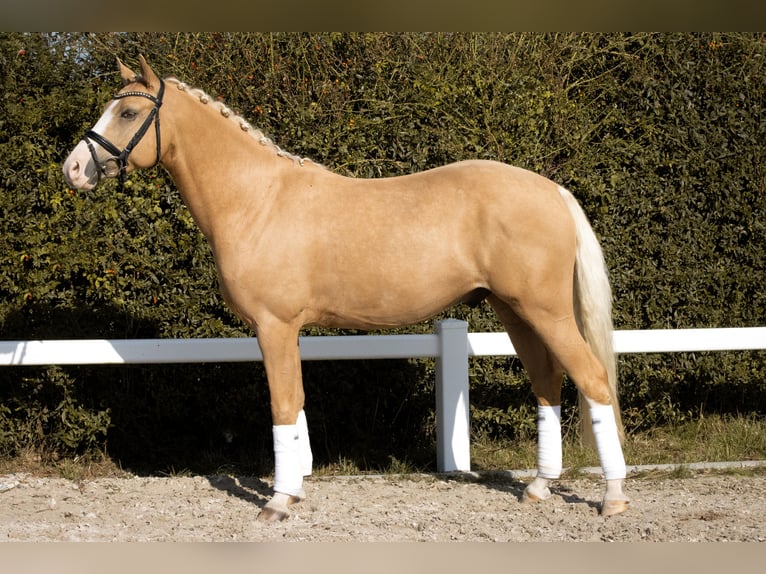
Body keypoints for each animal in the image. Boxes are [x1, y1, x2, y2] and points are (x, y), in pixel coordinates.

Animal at [64, 57, 632, 520]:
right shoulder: (287, 330)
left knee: (593, 381)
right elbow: (297, 405)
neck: (257, 199)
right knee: (548, 385)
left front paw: (277, 502)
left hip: (546, 313)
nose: (74, 167)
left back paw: (613, 498)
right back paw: (538, 487)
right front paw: (294, 491)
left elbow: (282, 406)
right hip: (516, 313)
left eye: (128, 113)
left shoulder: (273, 326)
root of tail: (553, 190)